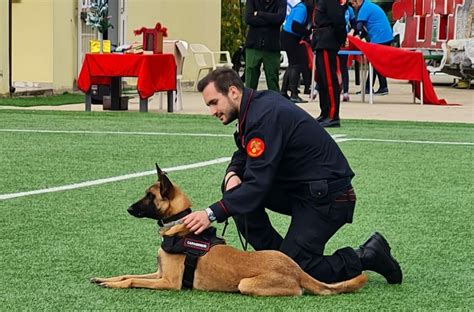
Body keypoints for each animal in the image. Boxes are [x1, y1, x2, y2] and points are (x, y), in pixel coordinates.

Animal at [90, 165, 368, 296]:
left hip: (246, 284)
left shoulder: (167, 282)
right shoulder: (158, 273)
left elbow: (132, 281)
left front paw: (114, 285)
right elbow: (127, 275)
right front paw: (104, 279)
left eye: (150, 196)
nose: (128, 208)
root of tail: (297, 270)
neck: (179, 227)